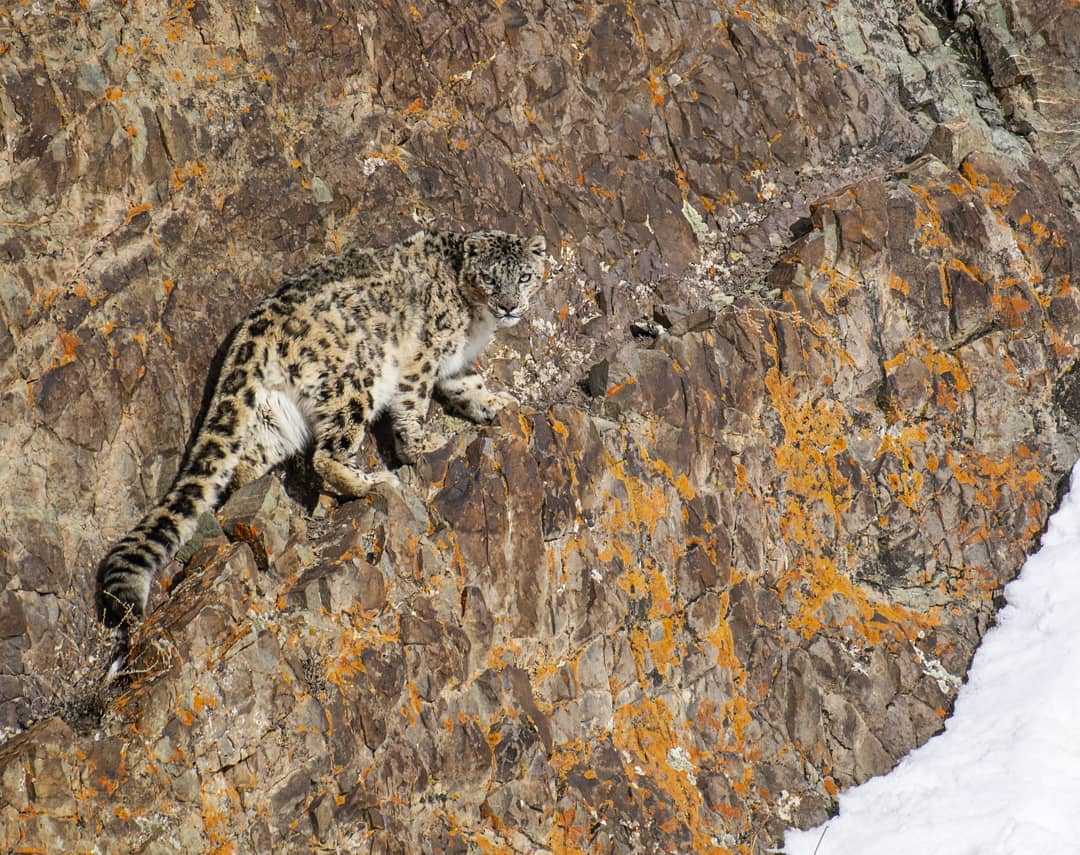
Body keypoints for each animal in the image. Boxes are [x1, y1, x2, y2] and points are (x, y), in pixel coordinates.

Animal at [97, 226, 544, 626]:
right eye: (489, 277)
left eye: (525, 276)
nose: (509, 306)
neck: (475, 321)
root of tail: (254, 331)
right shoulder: (424, 357)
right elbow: (413, 402)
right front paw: (420, 445)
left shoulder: (454, 364)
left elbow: (469, 385)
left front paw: (497, 404)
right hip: (355, 380)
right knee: (326, 455)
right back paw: (372, 482)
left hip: (276, 414)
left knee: (246, 463)